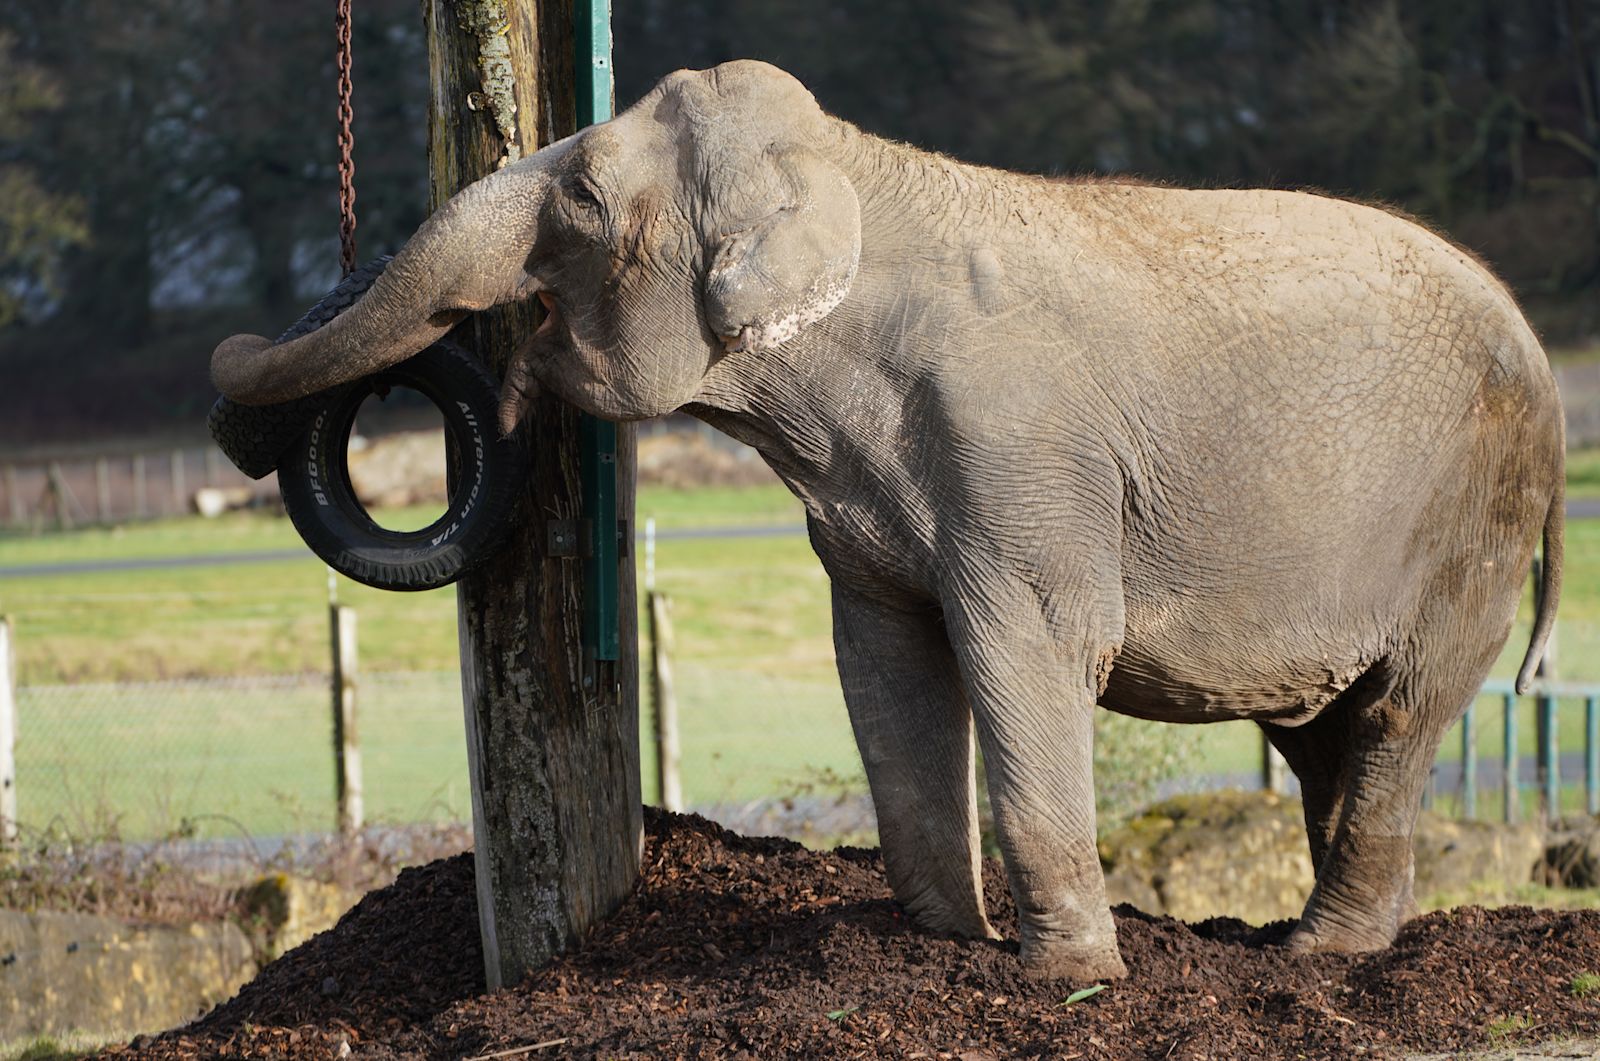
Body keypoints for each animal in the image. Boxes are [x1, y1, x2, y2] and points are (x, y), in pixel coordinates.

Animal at [213, 60, 1565, 981]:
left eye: (587, 195)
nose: (232, 372)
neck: (851, 171)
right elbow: (883, 654)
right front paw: (945, 942)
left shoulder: (1018, 454)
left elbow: (1030, 646)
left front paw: (1064, 979)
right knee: (1322, 730)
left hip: (1474, 515)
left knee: (1398, 708)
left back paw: (1317, 957)